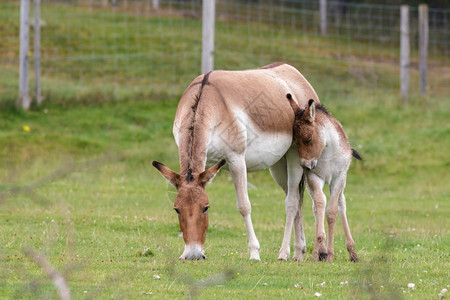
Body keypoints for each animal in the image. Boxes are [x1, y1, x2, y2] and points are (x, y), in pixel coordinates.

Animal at [153, 62, 318, 260]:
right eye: (177, 209)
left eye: (206, 208)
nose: (193, 255)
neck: (207, 99)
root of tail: (293, 71)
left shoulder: (236, 159)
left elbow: (244, 206)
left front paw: (254, 253)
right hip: (278, 165)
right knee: (297, 201)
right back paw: (299, 252)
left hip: (294, 157)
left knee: (292, 202)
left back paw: (284, 253)